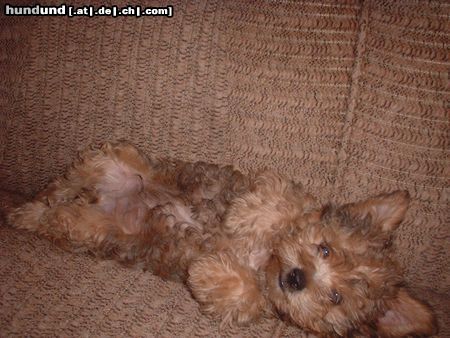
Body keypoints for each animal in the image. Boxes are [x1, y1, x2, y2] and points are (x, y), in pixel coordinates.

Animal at [7, 141, 436, 336]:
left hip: (88, 226)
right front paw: (249, 217)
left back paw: (30, 213)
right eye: (324, 248)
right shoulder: (272, 187)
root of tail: (104, 198)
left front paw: (209, 271)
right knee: (64, 184)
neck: (265, 260)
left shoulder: (255, 301)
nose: (297, 277)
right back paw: (25, 208)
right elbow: (285, 205)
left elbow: (247, 296)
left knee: (59, 214)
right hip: (118, 158)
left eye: (336, 299)